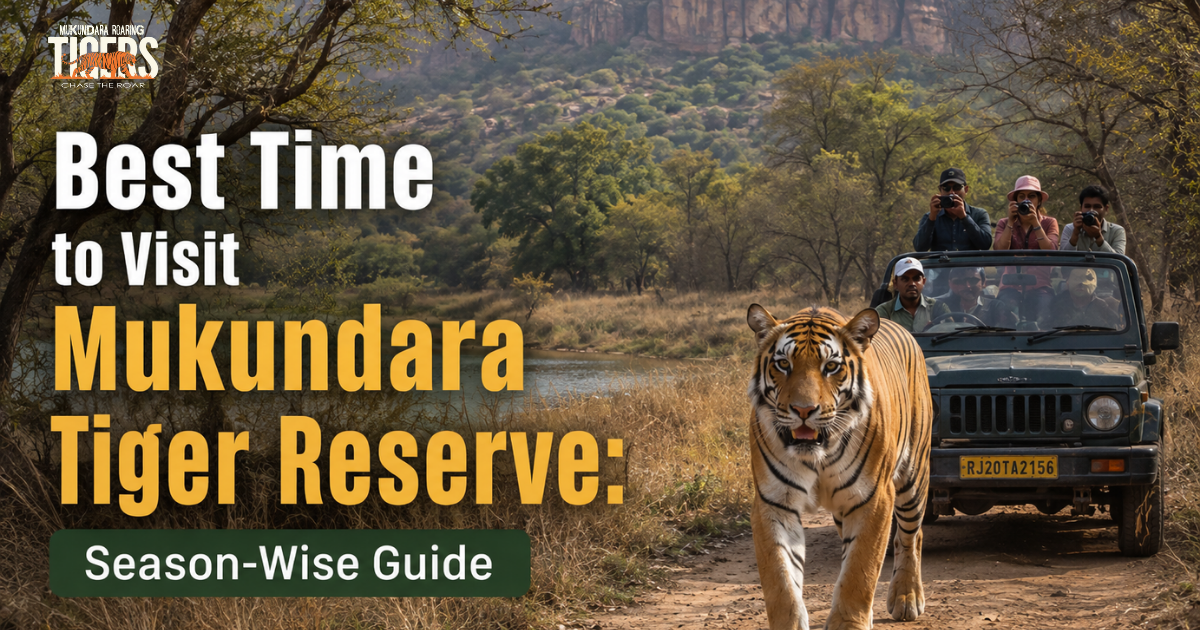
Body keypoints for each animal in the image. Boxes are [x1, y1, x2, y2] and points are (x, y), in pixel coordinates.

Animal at [746, 305, 932, 630]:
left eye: (831, 367)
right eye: (783, 364)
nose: (804, 410)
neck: (818, 453)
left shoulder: (873, 499)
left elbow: (860, 571)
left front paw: (851, 622)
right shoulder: (774, 503)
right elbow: (781, 580)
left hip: (913, 478)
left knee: (911, 536)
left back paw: (907, 598)